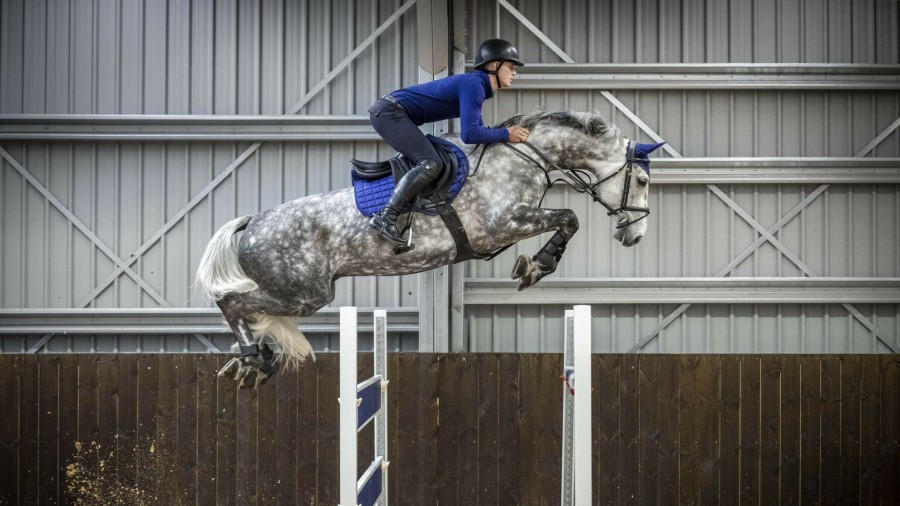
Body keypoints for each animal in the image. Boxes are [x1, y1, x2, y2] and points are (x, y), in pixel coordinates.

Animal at [195, 110, 660, 388]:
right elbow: (569, 217)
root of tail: (253, 222)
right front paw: (535, 266)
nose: (635, 235)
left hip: (299, 293)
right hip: (304, 293)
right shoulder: (502, 225)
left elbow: (567, 218)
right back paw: (253, 360)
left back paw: (257, 360)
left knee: (248, 309)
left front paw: (534, 265)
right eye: (641, 181)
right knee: (233, 301)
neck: (525, 157)